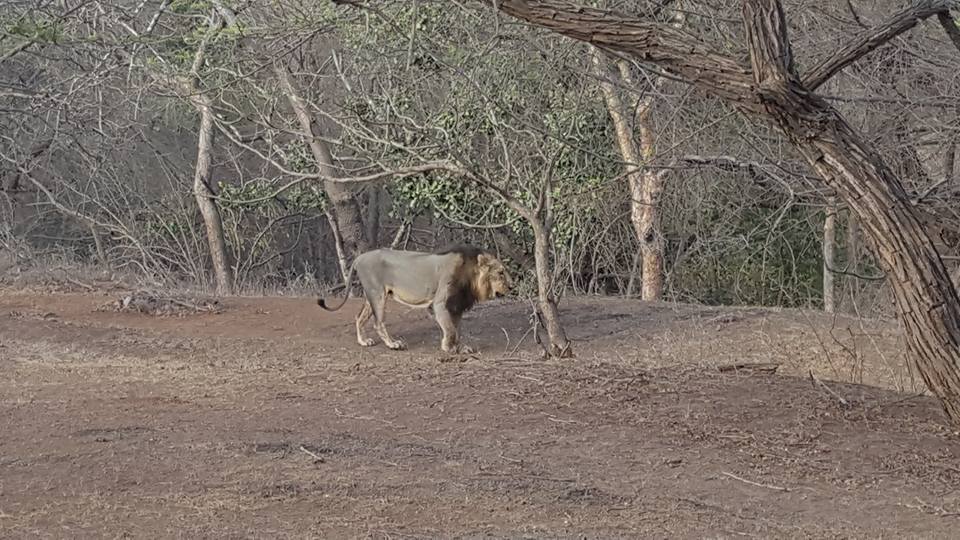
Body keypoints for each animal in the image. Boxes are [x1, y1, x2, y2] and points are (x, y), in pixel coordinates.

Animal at [318, 244, 512, 353]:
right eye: (501, 272)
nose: (511, 286)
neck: (471, 276)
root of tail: (359, 257)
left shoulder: (456, 306)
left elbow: (456, 330)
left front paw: (460, 347)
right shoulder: (440, 303)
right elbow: (450, 329)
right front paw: (448, 348)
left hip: (370, 295)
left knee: (359, 317)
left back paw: (364, 341)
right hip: (378, 294)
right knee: (378, 323)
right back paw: (393, 344)